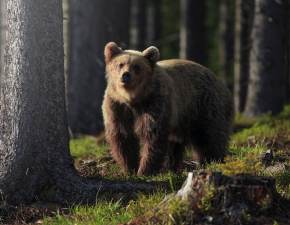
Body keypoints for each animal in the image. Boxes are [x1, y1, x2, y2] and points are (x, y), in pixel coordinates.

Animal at [102, 42, 233, 176]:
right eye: (120, 64)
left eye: (137, 66)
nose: (126, 75)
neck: (133, 98)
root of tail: (221, 82)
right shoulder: (118, 107)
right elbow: (123, 135)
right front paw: (130, 168)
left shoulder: (155, 102)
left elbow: (153, 136)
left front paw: (145, 170)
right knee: (175, 145)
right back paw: (172, 168)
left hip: (205, 106)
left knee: (210, 137)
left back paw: (212, 161)